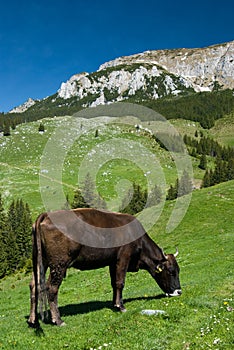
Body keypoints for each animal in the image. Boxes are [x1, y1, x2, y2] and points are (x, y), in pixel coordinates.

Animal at [27, 208, 181, 328]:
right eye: (171, 272)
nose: (179, 291)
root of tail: (46, 215)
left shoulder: (112, 262)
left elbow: (114, 283)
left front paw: (115, 304)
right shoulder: (123, 258)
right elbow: (120, 282)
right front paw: (121, 307)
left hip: (40, 261)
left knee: (34, 285)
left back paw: (32, 320)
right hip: (59, 264)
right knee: (52, 288)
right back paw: (58, 320)